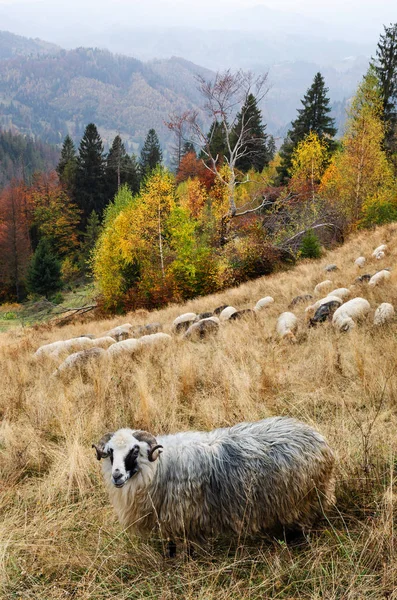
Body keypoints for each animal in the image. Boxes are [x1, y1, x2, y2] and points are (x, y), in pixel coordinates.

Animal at [93, 418, 334, 552]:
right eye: (111, 452)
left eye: (134, 450)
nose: (117, 476)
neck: (159, 466)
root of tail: (320, 440)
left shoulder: (185, 517)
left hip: (305, 498)